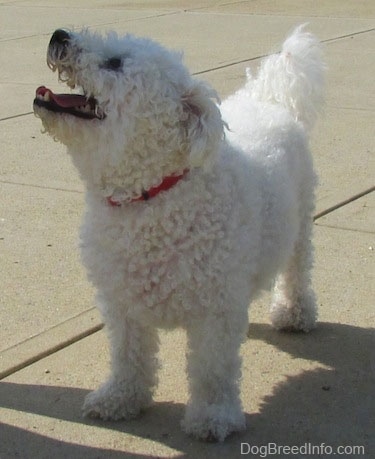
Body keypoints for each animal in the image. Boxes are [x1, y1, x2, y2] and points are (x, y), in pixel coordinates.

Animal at [33, 25, 324, 442]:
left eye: (115, 62)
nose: (59, 35)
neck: (153, 194)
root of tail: (267, 99)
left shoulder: (215, 310)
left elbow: (212, 370)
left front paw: (213, 417)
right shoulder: (122, 304)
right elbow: (128, 356)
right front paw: (120, 398)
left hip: (300, 223)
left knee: (297, 269)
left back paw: (295, 312)